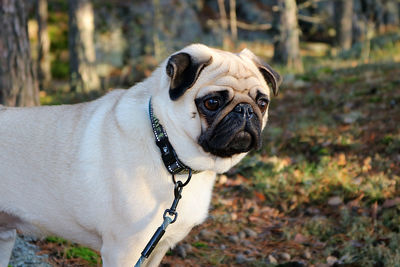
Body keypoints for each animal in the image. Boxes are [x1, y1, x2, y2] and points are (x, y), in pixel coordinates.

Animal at [0, 43, 280, 266]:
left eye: (262, 103)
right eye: (212, 103)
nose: (245, 110)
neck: (166, 148)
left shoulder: (156, 247)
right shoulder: (124, 250)